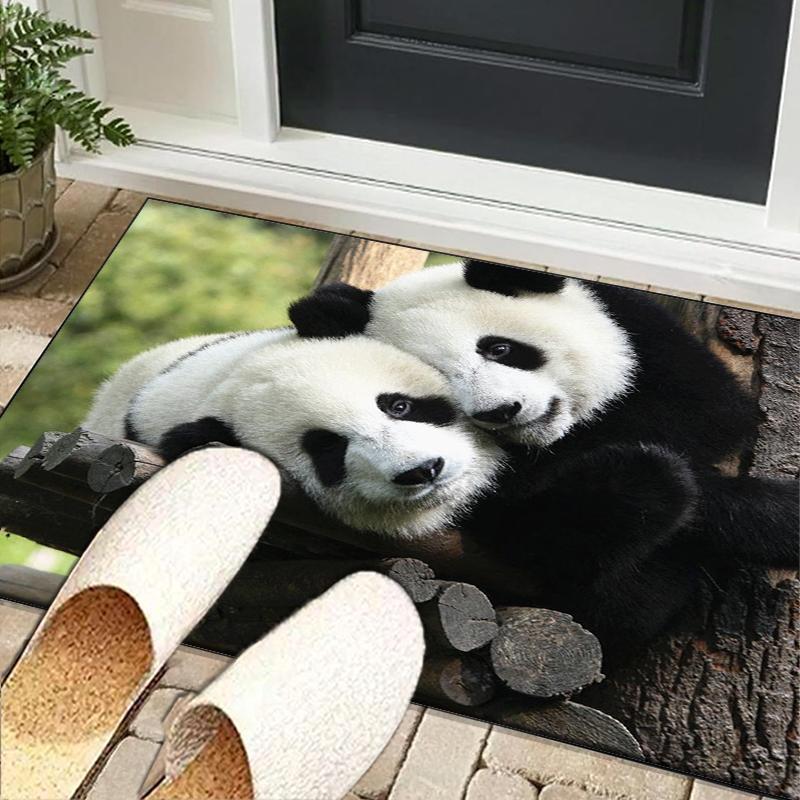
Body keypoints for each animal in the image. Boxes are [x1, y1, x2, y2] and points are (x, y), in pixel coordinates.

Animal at [289, 260, 799, 661]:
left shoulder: (642, 337)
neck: (554, 439)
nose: (500, 411)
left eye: (499, 348)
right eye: (441, 385)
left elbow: (709, 412)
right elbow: (541, 532)